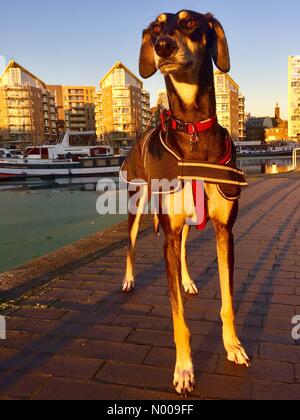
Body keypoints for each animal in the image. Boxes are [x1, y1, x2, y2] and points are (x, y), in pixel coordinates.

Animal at [120, 10, 250, 398]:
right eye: (156, 27)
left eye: (190, 23)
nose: (163, 46)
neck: (192, 128)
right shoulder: (168, 233)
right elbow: (178, 315)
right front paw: (184, 370)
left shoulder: (225, 231)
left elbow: (228, 301)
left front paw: (233, 345)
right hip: (137, 205)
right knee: (131, 246)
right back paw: (129, 280)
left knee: (183, 250)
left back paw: (188, 280)